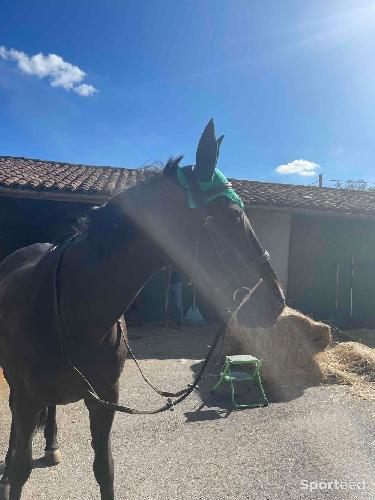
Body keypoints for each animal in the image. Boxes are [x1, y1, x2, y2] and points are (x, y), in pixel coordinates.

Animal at [0, 121, 284, 500]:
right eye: (229, 214)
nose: (276, 301)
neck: (76, 313)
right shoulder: (28, 399)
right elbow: (19, 470)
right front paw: (12, 467)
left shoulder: (105, 399)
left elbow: (104, 469)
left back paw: (50, 445)